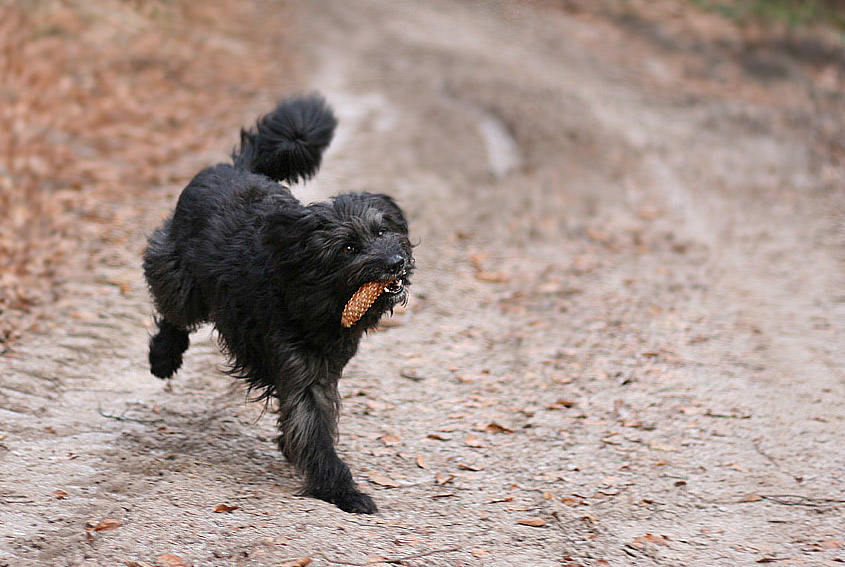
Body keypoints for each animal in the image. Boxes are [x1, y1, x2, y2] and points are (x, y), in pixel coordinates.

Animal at [146, 96, 416, 516]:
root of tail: (235, 169)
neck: (312, 297)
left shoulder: (321, 370)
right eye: (348, 247)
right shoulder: (300, 370)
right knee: (174, 314)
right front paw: (342, 490)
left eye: (382, 230)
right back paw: (163, 357)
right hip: (179, 277)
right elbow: (315, 433)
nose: (396, 263)